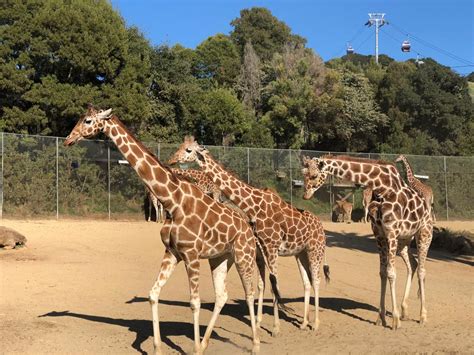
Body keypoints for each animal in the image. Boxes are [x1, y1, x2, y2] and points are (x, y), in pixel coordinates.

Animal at [63, 106, 268, 355]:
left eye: (88, 120)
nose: (68, 139)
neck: (173, 201)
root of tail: (248, 227)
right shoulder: (172, 253)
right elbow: (153, 295)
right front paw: (160, 348)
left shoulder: (191, 255)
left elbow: (194, 303)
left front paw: (193, 349)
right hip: (221, 258)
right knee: (222, 295)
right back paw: (206, 343)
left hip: (243, 254)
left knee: (249, 292)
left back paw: (255, 344)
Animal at [169, 136, 330, 336]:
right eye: (180, 147)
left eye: (189, 150)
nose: (172, 160)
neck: (254, 206)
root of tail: (321, 227)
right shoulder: (262, 250)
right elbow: (262, 284)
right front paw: (260, 323)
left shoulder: (271, 247)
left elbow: (273, 286)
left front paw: (275, 328)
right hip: (301, 253)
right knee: (307, 282)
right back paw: (303, 323)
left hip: (315, 250)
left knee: (316, 280)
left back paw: (315, 324)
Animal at [304, 156, 434, 330]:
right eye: (303, 173)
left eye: (314, 175)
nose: (305, 195)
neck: (382, 187)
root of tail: (427, 210)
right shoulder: (380, 235)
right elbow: (382, 273)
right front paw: (381, 318)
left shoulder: (391, 232)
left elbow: (391, 273)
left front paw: (395, 321)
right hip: (404, 241)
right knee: (413, 265)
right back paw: (404, 310)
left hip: (424, 233)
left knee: (422, 270)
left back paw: (422, 316)